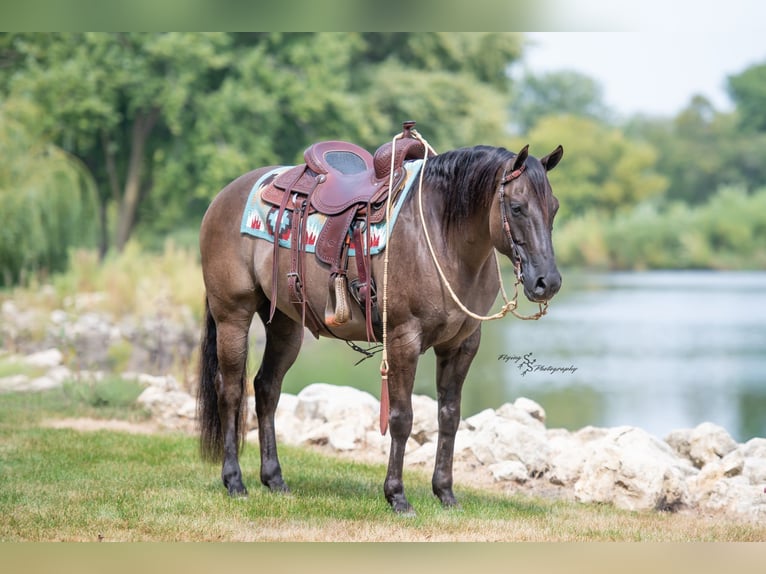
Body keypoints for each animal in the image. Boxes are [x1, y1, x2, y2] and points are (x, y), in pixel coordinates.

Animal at [196, 135, 563, 514]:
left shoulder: (462, 344)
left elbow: (449, 416)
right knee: (230, 390)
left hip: (285, 324)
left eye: (554, 208)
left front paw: (445, 493)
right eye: (517, 207)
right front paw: (397, 496)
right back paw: (234, 481)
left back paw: (274, 479)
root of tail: (224, 196)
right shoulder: (404, 339)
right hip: (233, 315)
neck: (441, 236)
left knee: (267, 388)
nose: (547, 282)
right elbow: (402, 418)